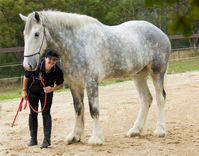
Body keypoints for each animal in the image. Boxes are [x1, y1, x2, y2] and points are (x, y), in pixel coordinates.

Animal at [19, 10, 171, 146]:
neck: (76, 43)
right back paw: (135, 131)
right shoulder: (75, 85)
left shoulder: (91, 83)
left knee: (160, 98)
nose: (28, 65)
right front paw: (74, 137)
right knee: (146, 99)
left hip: (157, 72)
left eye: (36, 34)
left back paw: (160, 130)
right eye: (24, 34)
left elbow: (94, 110)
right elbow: (78, 109)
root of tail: (161, 33)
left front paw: (96, 138)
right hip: (139, 75)